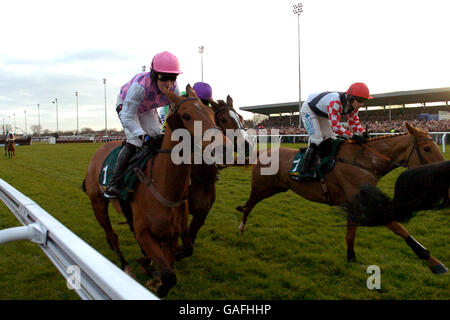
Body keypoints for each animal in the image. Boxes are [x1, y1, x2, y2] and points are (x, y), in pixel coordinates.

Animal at [82, 85, 229, 298]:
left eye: (211, 113)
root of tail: (101, 148)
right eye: (186, 115)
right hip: (98, 202)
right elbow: (168, 275)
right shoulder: (145, 234)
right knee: (112, 236)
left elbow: (171, 267)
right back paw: (125, 266)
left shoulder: (173, 235)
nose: (223, 148)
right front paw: (156, 282)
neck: (165, 187)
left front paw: (153, 272)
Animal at [176, 95, 253, 260]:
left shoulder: (201, 215)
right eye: (223, 119)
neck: (200, 177)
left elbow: (189, 246)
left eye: (241, 117)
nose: (247, 145)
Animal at [237, 122, 448, 276]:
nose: (444, 171)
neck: (365, 162)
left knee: (249, 205)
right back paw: (240, 229)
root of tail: (262, 152)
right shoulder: (366, 204)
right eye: (427, 148)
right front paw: (434, 261)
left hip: (276, 188)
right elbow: (400, 229)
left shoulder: (354, 203)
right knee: (248, 206)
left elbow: (350, 234)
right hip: (261, 188)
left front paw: (351, 257)